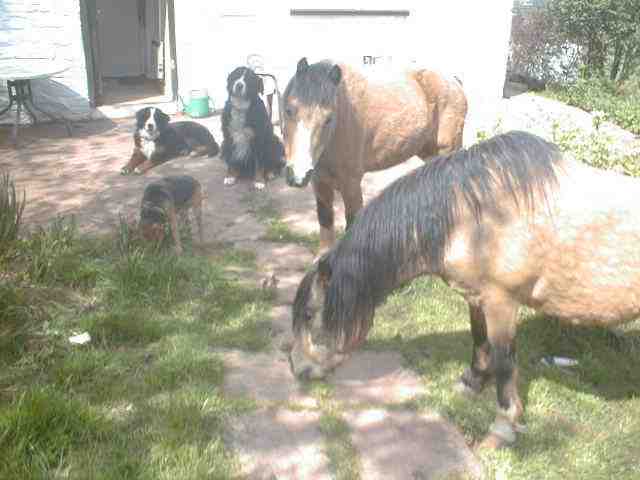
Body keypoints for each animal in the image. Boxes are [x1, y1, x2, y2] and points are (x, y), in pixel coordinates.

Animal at [281, 57, 467, 255]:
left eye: (328, 119)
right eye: (289, 110)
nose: (298, 175)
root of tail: (455, 81)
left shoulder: (351, 184)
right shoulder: (319, 182)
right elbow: (325, 221)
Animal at [290, 130, 640, 449]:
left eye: (309, 315)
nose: (297, 369)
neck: (478, 214)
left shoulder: (502, 303)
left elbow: (504, 362)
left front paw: (502, 428)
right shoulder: (476, 297)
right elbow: (479, 340)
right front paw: (472, 384)